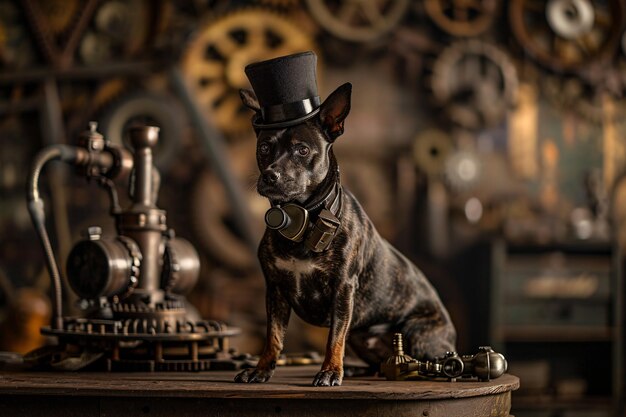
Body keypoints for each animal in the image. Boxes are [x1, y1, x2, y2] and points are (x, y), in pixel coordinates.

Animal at [234, 52, 454, 386]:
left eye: (302, 150)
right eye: (264, 148)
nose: (270, 175)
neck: (302, 219)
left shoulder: (342, 290)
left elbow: (333, 337)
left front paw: (329, 371)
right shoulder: (275, 290)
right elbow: (273, 336)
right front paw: (261, 369)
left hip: (418, 334)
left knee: (426, 362)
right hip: (363, 338)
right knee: (379, 365)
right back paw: (357, 369)